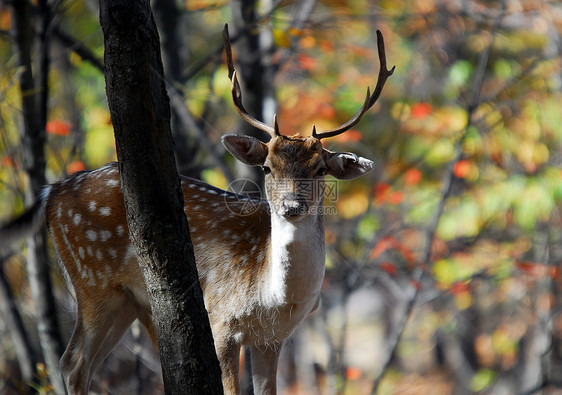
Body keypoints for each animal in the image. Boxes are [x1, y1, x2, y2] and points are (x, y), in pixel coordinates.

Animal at [0, 26, 392, 394]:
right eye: (267, 168)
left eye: (321, 169)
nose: (291, 205)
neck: (275, 299)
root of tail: (51, 191)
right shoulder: (220, 319)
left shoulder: (273, 338)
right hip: (92, 280)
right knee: (72, 362)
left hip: (130, 301)